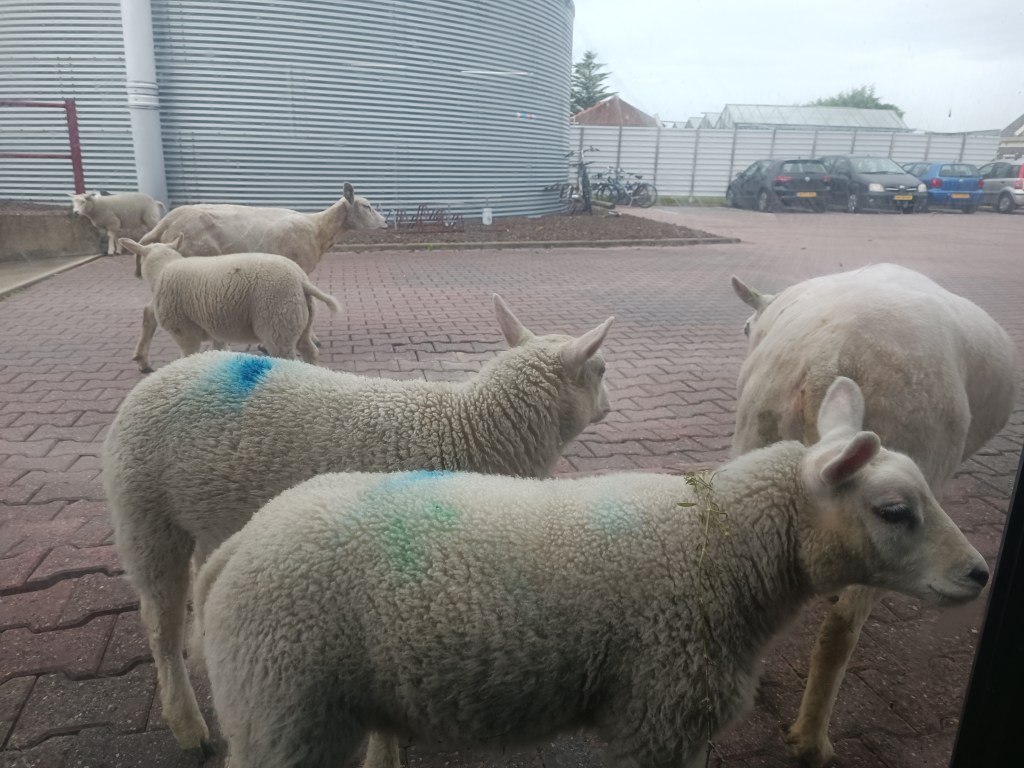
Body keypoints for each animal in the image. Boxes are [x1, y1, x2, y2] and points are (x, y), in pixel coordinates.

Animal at [102, 294, 614, 756]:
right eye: (602, 370)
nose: (609, 406)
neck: (469, 429)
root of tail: (160, 378)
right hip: (146, 516)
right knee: (159, 625)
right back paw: (188, 725)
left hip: (209, 519)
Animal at [117, 237, 340, 373]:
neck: (163, 269)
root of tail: (301, 280)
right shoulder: (214, 326)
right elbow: (219, 349)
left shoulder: (184, 331)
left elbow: (188, 355)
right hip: (300, 321)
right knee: (310, 350)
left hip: (277, 323)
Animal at [193, 376, 990, 768]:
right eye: (894, 511)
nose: (979, 575)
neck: (723, 550)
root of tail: (242, 543)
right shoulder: (659, 715)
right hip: (282, 706)